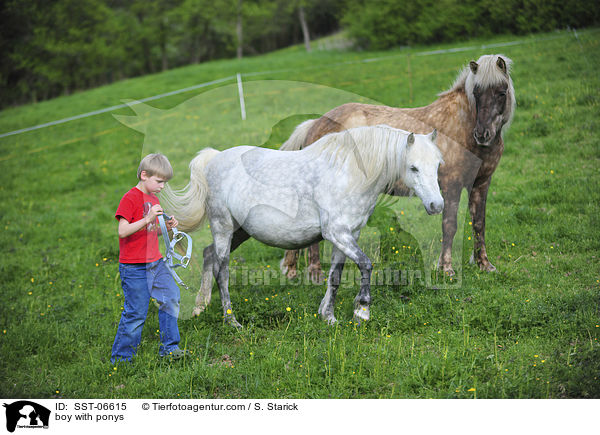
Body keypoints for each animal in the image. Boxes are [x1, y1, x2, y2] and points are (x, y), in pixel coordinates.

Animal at [162, 125, 442, 328]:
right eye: (413, 167)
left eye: (438, 165)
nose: (436, 205)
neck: (348, 174)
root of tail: (213, 159)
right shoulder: (337, 233)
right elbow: (366, 264)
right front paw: (362, 311)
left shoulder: (348, 235)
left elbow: (335, 276)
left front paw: (328, 316)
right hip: (222, 227)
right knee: (222, 271)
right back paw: (232, 320)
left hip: (239, 231)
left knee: (208, 254)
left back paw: (200, 307)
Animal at [278, 53, 512, 280]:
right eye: (476, 92)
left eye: (502, 92)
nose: (482, 134)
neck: (462, 128)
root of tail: (315, 124)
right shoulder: (451, 186)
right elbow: (450, 225)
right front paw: (446, 269)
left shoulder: (481, 184)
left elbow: (479, 223)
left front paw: (484, 265)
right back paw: (314, 273)